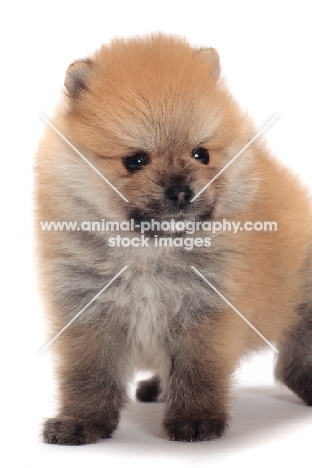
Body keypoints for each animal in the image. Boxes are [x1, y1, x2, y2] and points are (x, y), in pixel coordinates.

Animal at [36, 34, 312, 444]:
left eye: (201, 154)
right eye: (135, 160)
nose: (182, 191)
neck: (149, 249)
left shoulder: (205, 312)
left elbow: (198, 372)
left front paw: (196, 420)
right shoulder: (89, 313)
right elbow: (87, 376)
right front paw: (81, 422)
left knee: (297, 357)